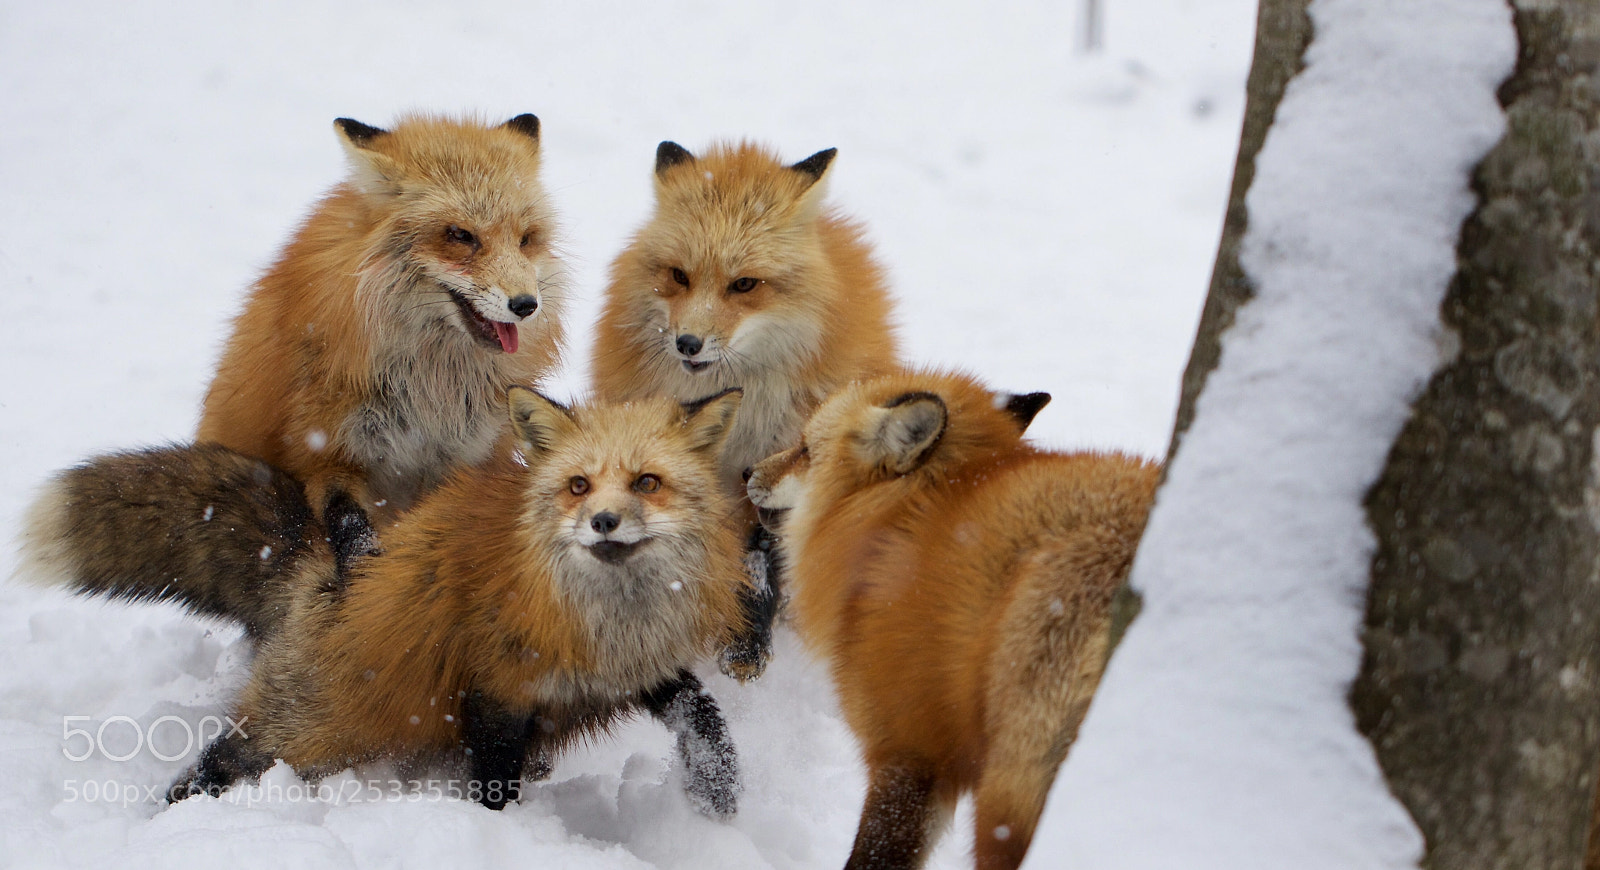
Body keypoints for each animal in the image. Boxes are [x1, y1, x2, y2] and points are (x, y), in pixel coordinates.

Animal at [166, 387, 751, 816]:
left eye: (647, 482)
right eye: (578, 486)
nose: (603, 521)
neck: (610, 622)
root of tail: (329, 564)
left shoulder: (632, 670)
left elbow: (701, 713)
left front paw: (716, 790)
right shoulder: (496, 688)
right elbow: (493, 784)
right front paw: (495, 832)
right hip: (309, 726)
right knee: (222, 759)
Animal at [198, 112, 566, 531]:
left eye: (525, 239)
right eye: (460, 235)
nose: (526, 305)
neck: (431, 390)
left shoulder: (464, 461)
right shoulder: (325, 454)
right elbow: (352, 528)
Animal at [591, 140, 900, 678]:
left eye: (744, 285)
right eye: (679, 276)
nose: (687, 343)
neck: (739, 414)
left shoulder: (775, 470)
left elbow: (760, 571)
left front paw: (745, 652)